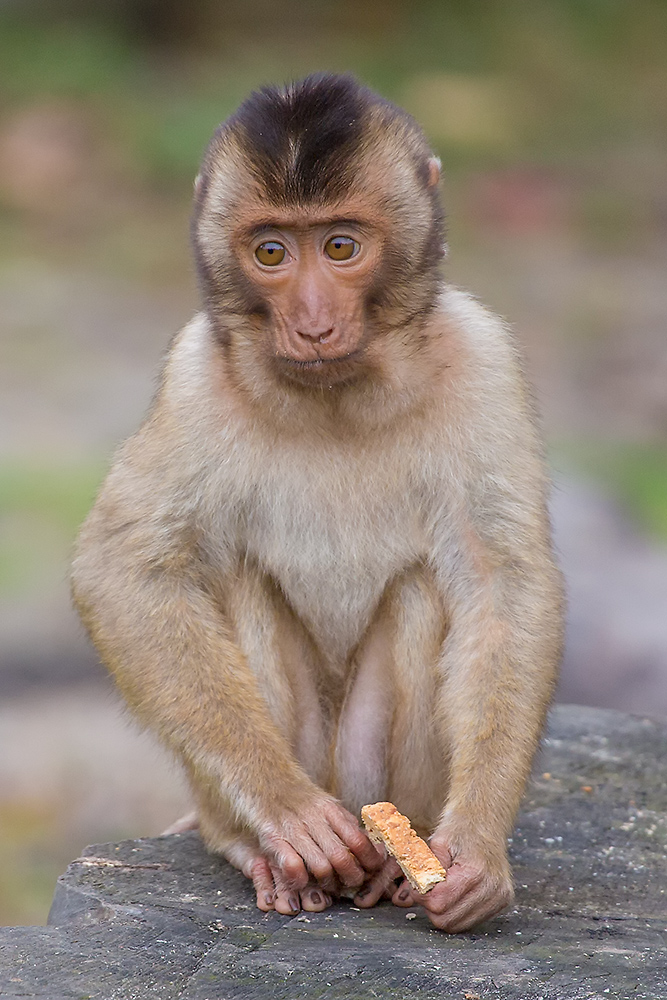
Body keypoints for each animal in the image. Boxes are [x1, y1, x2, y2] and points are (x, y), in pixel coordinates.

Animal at [72, 74, 564, 932]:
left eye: (340, 248)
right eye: (271, 252)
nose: (309, 321)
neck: (336, 394)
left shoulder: (483, 359)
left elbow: (502, 582)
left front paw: (475, 851)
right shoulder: (194, 380)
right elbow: (123, 572)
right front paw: (285, 812)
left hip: (369, 775)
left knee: (425, 591)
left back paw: (393, 865)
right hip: (287, 769)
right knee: (227, 577)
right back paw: (262, 849)